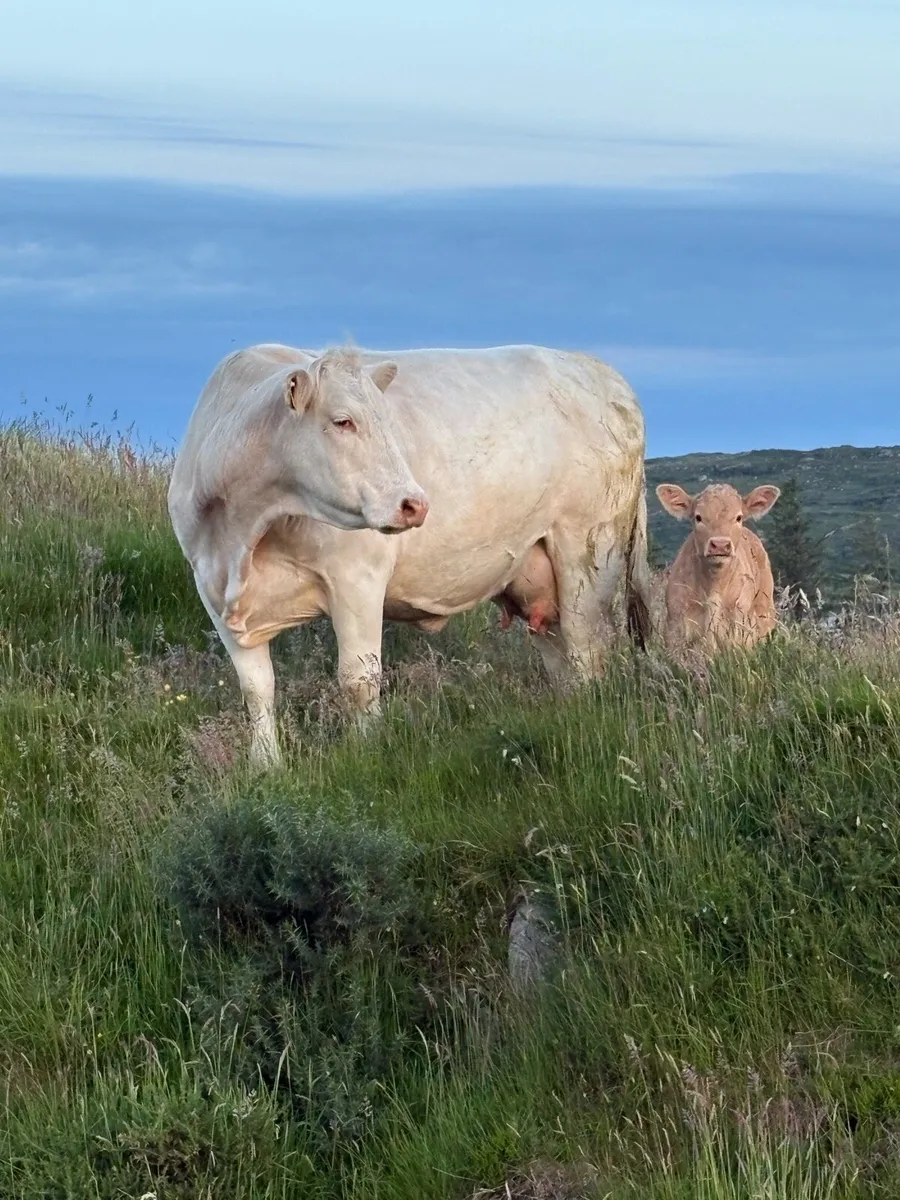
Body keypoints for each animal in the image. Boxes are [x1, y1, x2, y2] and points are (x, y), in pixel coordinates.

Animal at [168, 343, 652, 766]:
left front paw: (366, 753)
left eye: (387, 420)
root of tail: (595, 368)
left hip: (588, 554)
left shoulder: (357, 578)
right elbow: (256, 688)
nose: (414, 503)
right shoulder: (212, 590)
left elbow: (358, 679)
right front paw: (266, 765)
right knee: (562, 658)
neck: (242, 537)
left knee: (588, 651)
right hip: (537, 579)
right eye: (342, 421)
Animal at [655, 481, 781, 653]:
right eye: (698, 517)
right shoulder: (675, 626)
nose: (720, 544)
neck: (714, 586)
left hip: (765, 611)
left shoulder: (739, 628)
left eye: (738, 517)